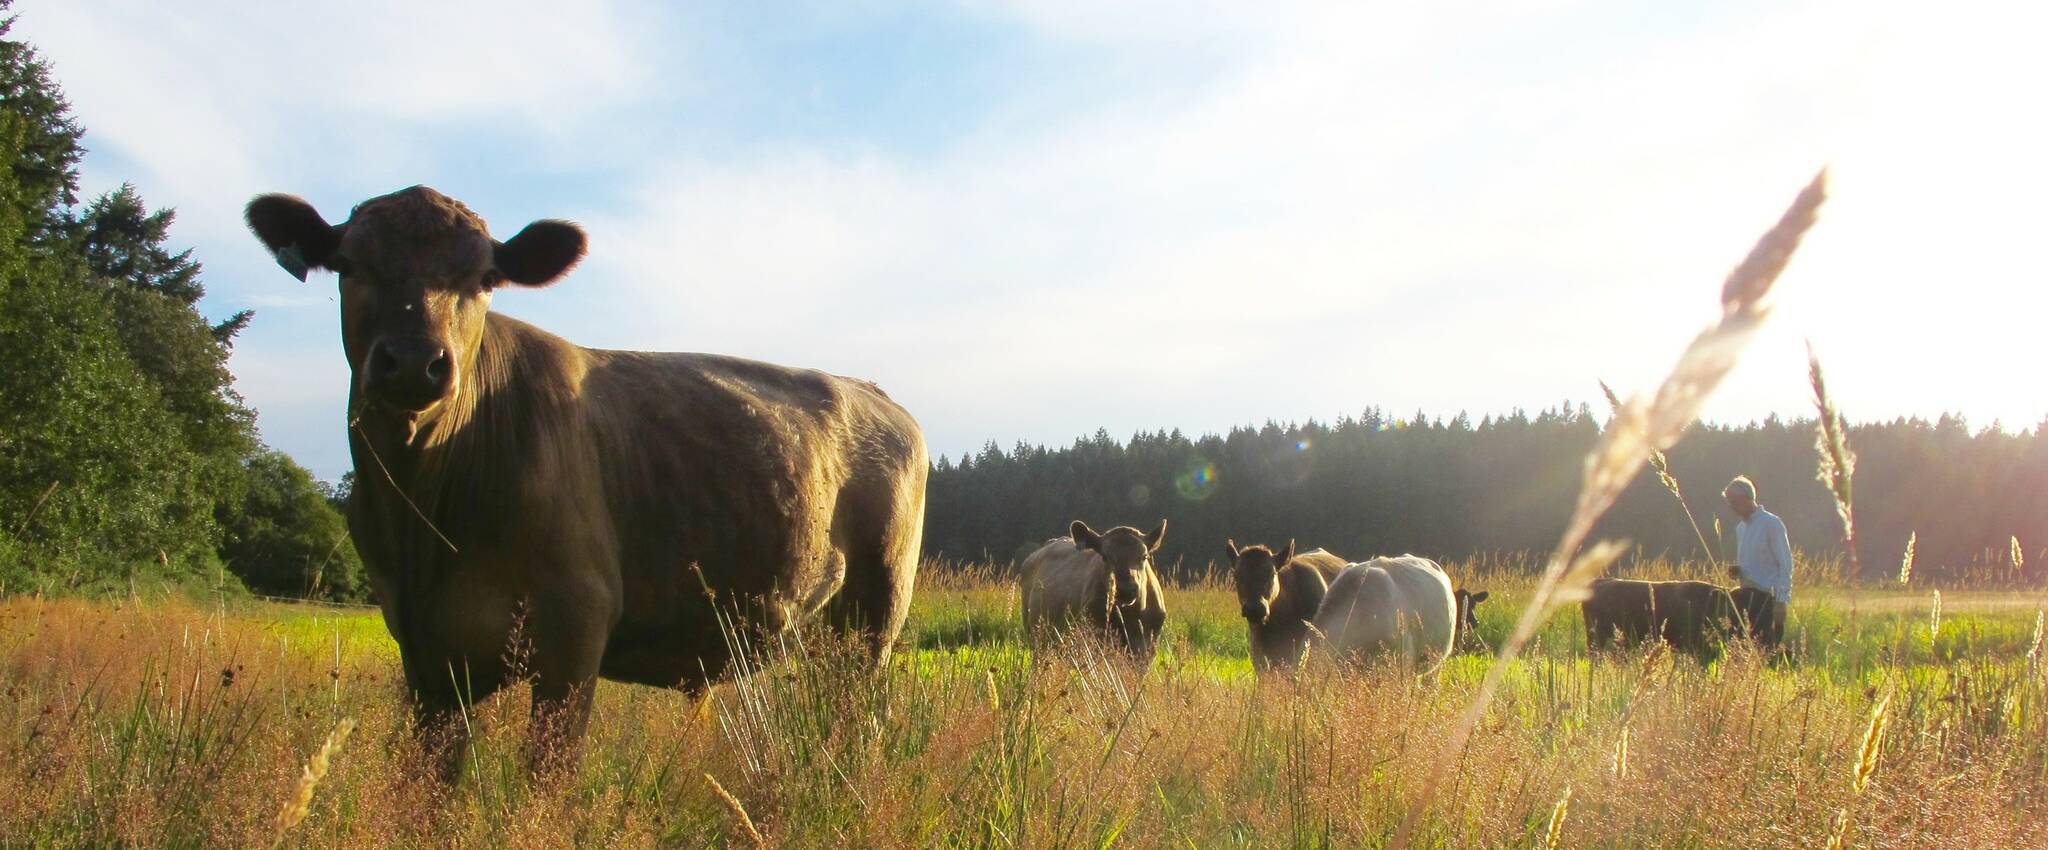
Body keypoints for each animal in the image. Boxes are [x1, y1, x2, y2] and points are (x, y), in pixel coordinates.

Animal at [243, 186, 933, 778]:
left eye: (482, 279)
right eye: (348, 264)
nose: (414, 361)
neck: (425, 518)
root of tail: (874, 392)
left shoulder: (574, 629)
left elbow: (545, 781)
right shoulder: (426, 658)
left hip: (873, 614)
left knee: (859, 719)